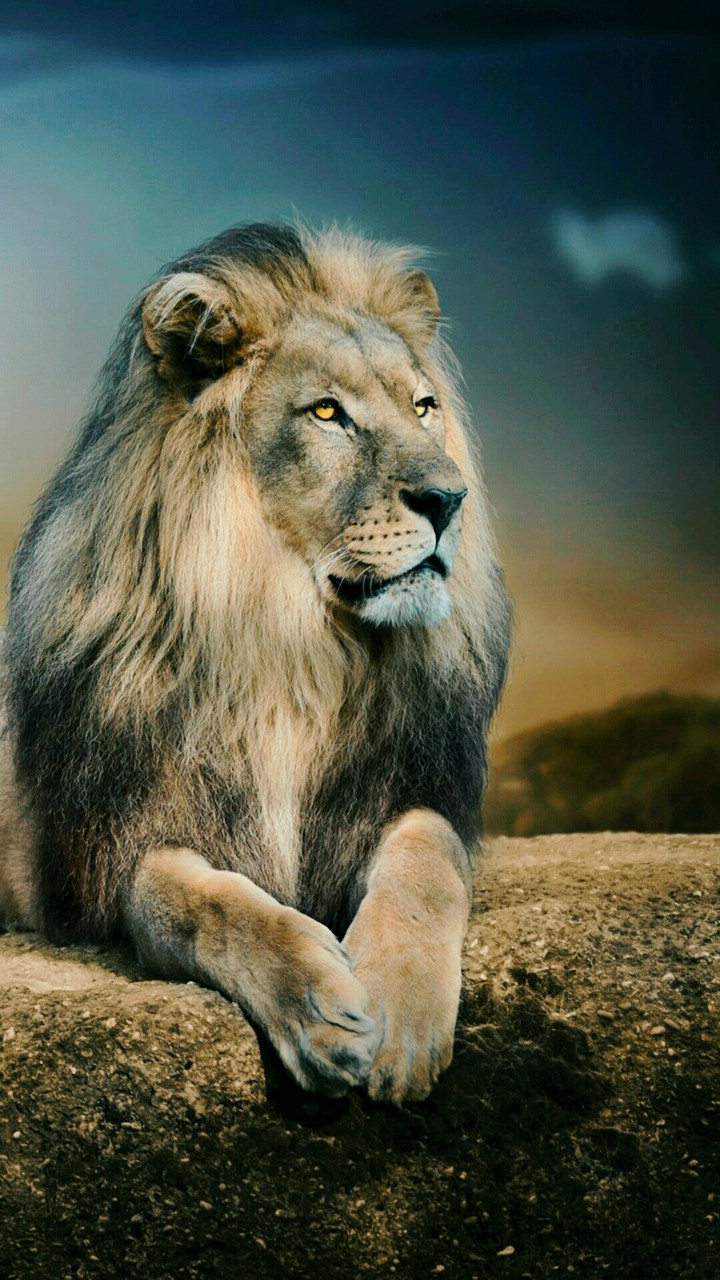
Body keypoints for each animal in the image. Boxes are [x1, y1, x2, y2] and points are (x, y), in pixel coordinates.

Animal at [0, 222, 511, 1104]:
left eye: (424, 406)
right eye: (328, 413)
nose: (449, 500)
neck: (291, 642)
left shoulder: (409, 787)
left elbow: (427, 858)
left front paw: (400, 1015)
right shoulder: (120, 843)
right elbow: (199, 902)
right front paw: (320, 1011)